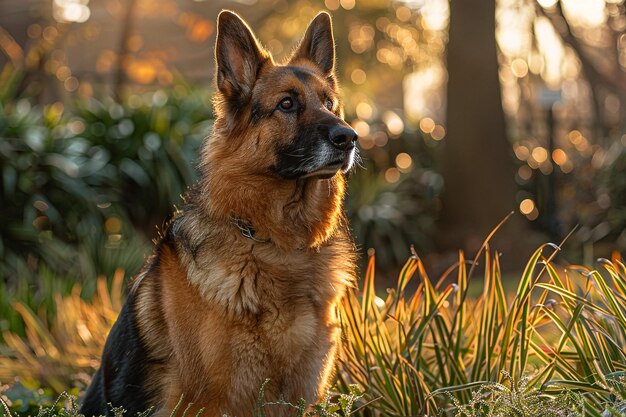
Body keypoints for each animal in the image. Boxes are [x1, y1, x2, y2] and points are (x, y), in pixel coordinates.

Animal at [79, 9, 356, 416]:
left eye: (330, 103)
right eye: (286, 104)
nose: (349, 138)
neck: (275, 245)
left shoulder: (300, 397)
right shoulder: (205, 403)